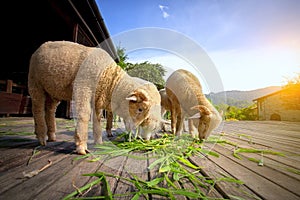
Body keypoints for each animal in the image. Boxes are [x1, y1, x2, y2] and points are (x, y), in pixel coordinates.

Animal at [28, 40, 162, 155]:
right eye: (140, 109)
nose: (136, 134)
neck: (109, 80)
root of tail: (43, 45)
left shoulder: (97, 99)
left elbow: (97, 120)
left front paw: (99, 142)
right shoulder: (83, 87)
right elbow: (83, 115)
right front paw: (81, 147)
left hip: (53, 92)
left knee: (50, 110)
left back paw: (51, 136)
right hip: (35, 83)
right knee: (38, 109)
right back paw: (41, 137)